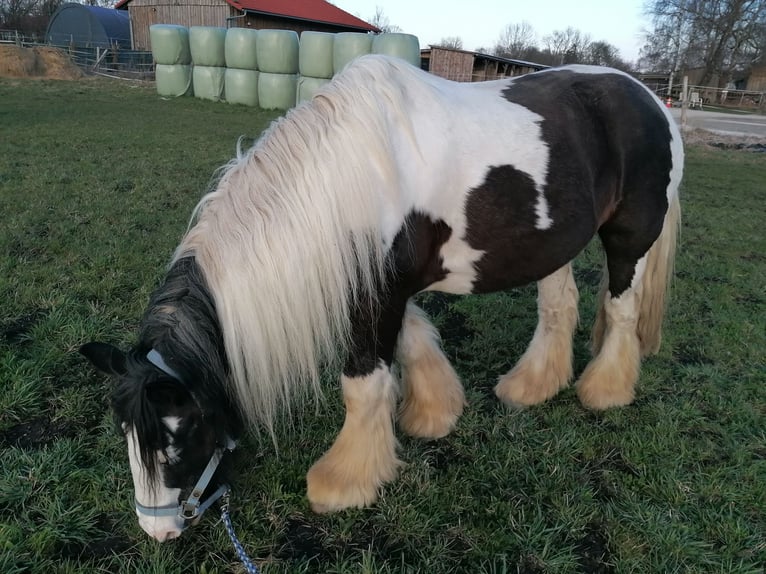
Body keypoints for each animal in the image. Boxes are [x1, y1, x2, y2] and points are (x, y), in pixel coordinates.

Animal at [81, 54, 683, 542]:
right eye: (125, 433)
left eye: (179, 437)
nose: (158, 531)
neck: (343, 177)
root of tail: (652, 99)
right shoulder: (381, 285)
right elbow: (413, 345)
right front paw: (434, 414)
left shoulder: (376, 295)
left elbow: (362, 385)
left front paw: (345, 482)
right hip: (555, 243)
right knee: (559, 306)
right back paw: (532, 387)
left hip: (630, 237)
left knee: (621, 308)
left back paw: (604, 391)